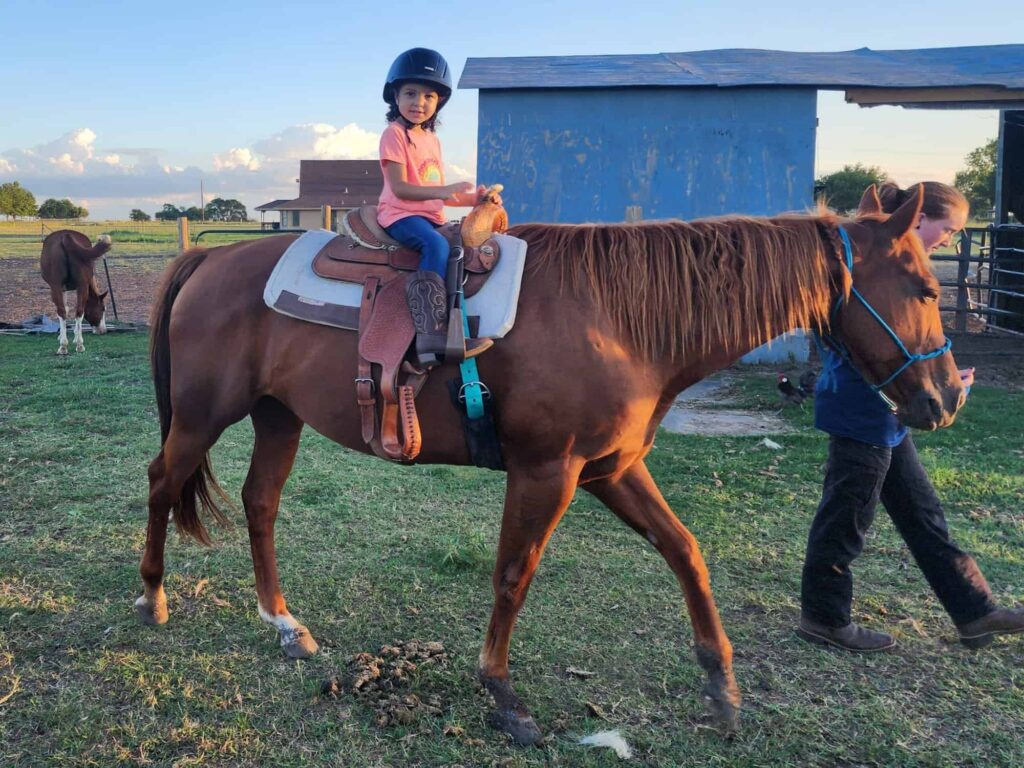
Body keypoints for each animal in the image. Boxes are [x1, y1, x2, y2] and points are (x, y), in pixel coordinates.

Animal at [134, 185, 958, 745]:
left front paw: (721, 684)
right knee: (161, 482)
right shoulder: (548, 472)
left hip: (278, 416)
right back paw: (152, 598)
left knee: (260, 502)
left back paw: (283, 624)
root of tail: (208, 257)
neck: (617, 317)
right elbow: (513, 574)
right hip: (204, 417)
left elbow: (685, 551)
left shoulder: (609, 470)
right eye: (925, 287)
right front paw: (503, 696)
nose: (946, 397)